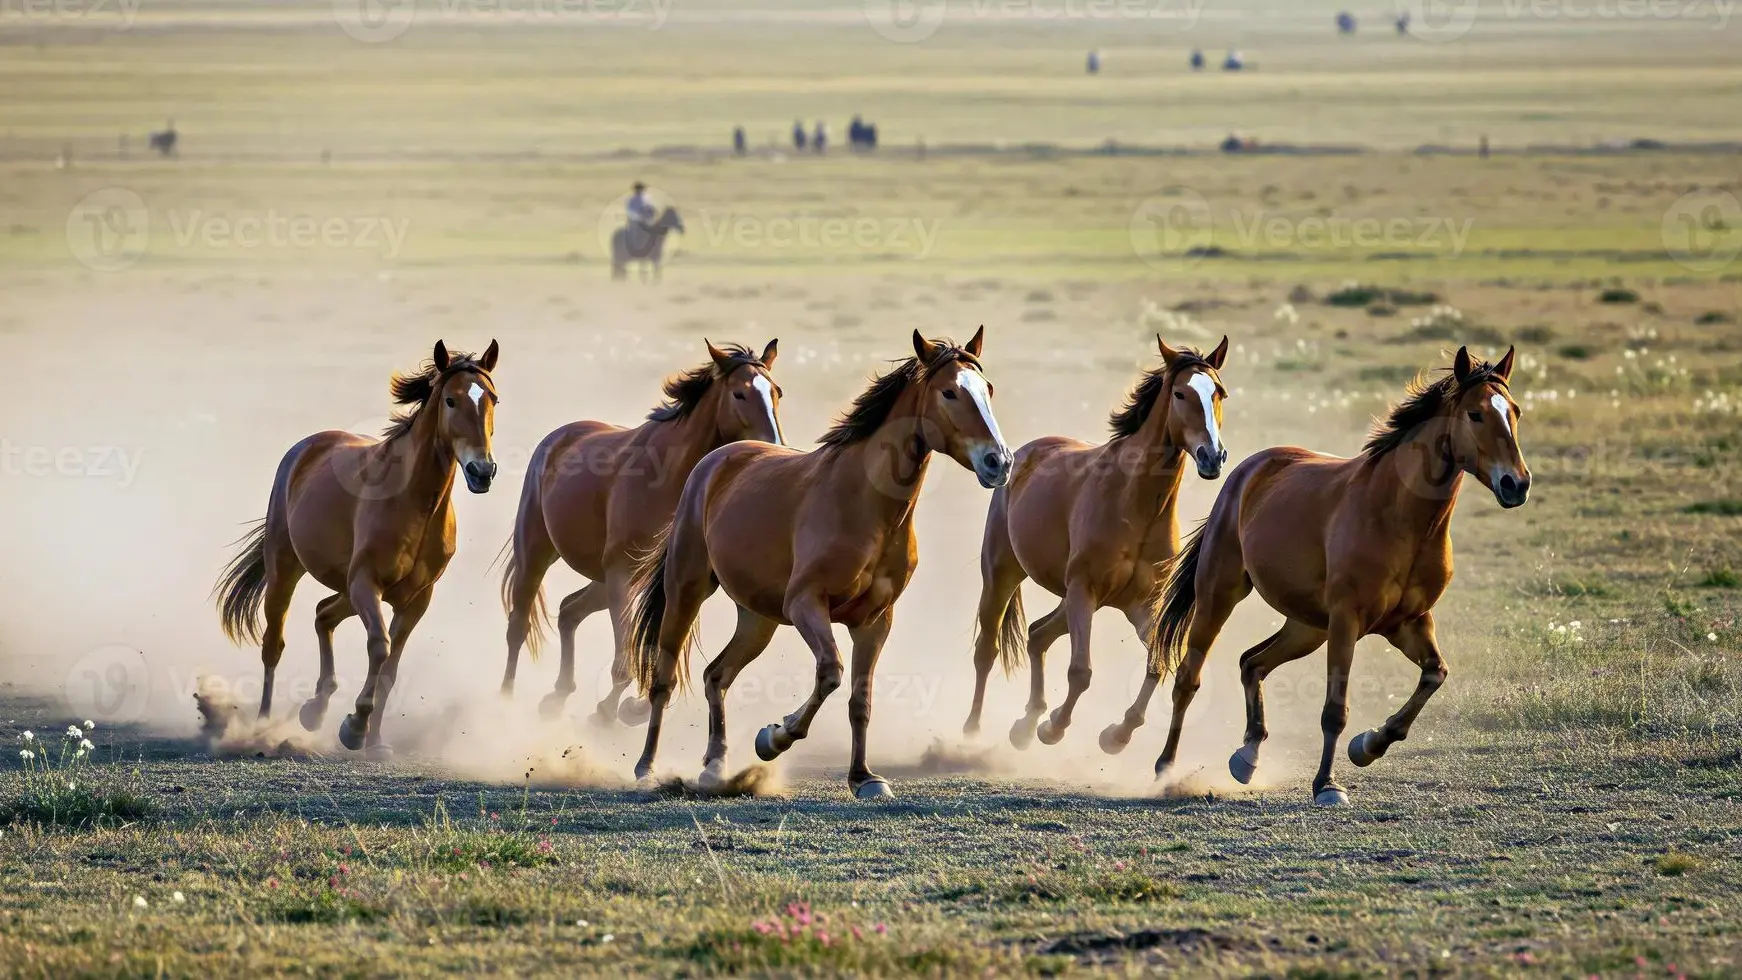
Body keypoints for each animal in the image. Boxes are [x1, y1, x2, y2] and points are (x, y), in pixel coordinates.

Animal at [214, 341, 501, 754]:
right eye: (450, 399)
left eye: (493, 398)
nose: (482, 472)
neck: (415, 504)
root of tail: (306, 447)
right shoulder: (368, 583)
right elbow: (380, 647)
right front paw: (354, 728)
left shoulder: (416, 598)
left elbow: (391, 670)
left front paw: (376, 742)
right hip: (286, 569)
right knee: (274, 643)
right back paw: (263, 727)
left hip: (347, 590)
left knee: (323, 614)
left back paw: (314, 710)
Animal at [498, 340, 784, 724]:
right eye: (739, 393)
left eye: (777, 392)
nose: (775, 447)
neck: (668, 476)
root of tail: (559, 437)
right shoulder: (623, 574)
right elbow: (624, 663)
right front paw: (607, 712)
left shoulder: (678, 586)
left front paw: (632, 708)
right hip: (537, 551)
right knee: (518, 626)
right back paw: (506, 698)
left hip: (601, 580)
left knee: (569, 611)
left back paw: (557, 695)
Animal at [626, 329, 1013, 799]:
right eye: (950, 392)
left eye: (987, 389)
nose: (999, 461)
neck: (864, 503)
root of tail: (718, 459)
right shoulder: (806, 604)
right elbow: (831, 671)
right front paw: (774, 737)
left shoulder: (875, 621)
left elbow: (860, 700)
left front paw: (864, 778)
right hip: (687, 589)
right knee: (664, 676)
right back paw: (647, 767)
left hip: (758, 619)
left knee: (716, 675)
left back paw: (715, 767)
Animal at [963, 335, 1229, 755]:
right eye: (1181, 393)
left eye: (1218, 392)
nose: (1212, 457)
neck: (1136, 504)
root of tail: (1020, 455)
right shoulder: (1084, 591)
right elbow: (1081, 672)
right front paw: (1054, 728)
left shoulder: (1141, 604)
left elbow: (1157, 665)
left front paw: (1117, 735)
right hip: (1006, 576)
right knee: (987, 649)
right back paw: (973, 730)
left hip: (1072, 599)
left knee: (1037, 635)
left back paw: (1025, 725)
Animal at [1147, 346, 1529, 805]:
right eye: (1475, 414)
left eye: (1515, 411)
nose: (1516, 484)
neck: (1400, 517)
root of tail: (1246, 471)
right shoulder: (1348, 621)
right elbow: (1335, 710)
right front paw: (1327, 785)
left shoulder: (1409, 622)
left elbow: (1435, 674)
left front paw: (1368, 745)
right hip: (1220, 595)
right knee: (1188, 679)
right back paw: (1166, 768)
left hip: (1308, 627)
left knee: (1252, 663)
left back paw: (1247, 756)